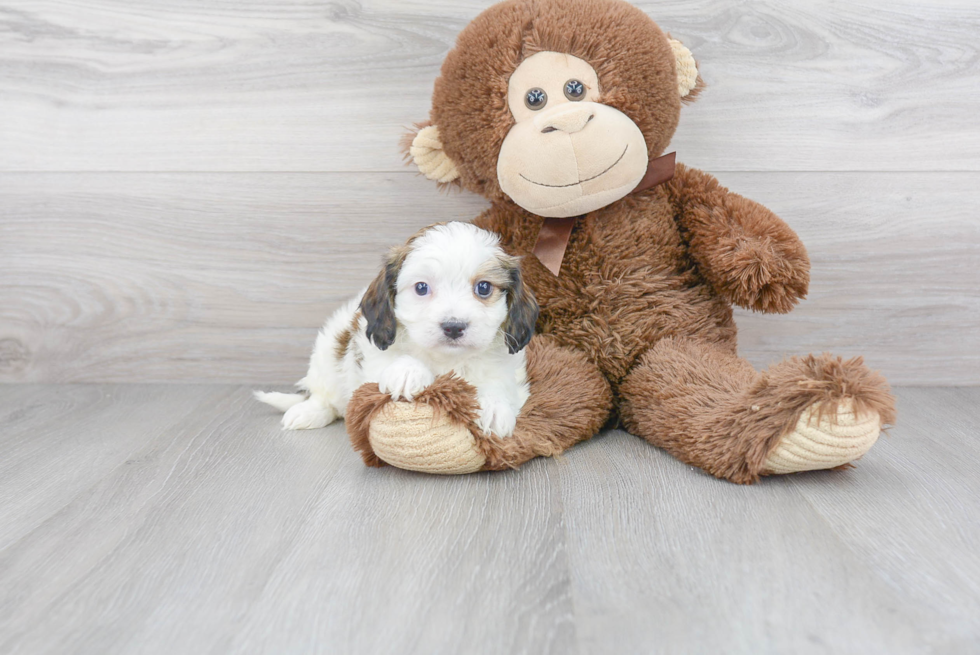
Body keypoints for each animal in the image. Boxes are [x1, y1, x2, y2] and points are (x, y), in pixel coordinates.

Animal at [253, 223, 540, 438]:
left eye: (483, 288)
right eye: (422, 288)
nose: (453, 326)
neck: (445, 359)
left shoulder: (509, 369)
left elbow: (500, 384)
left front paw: (493, 407)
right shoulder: (370, 355)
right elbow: (390, 363)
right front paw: (407, 371)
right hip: (327, 355)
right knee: (326, 397)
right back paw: (308, 412)